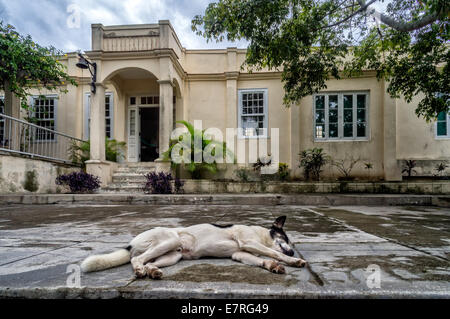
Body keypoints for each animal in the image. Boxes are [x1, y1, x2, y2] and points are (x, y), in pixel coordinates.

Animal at [81, 216, 306, 278]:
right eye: (285, 238)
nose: (293, 250)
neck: (261, 235)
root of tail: (130, 244)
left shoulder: (240, 254)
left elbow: (263, 259)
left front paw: (272, 265)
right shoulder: (248, 242)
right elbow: (272, 252)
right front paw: (294, 260)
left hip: (173, 256)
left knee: (149, 262)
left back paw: (152, 271)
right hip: (170, 241)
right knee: (137, 260)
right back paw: (139, 270)